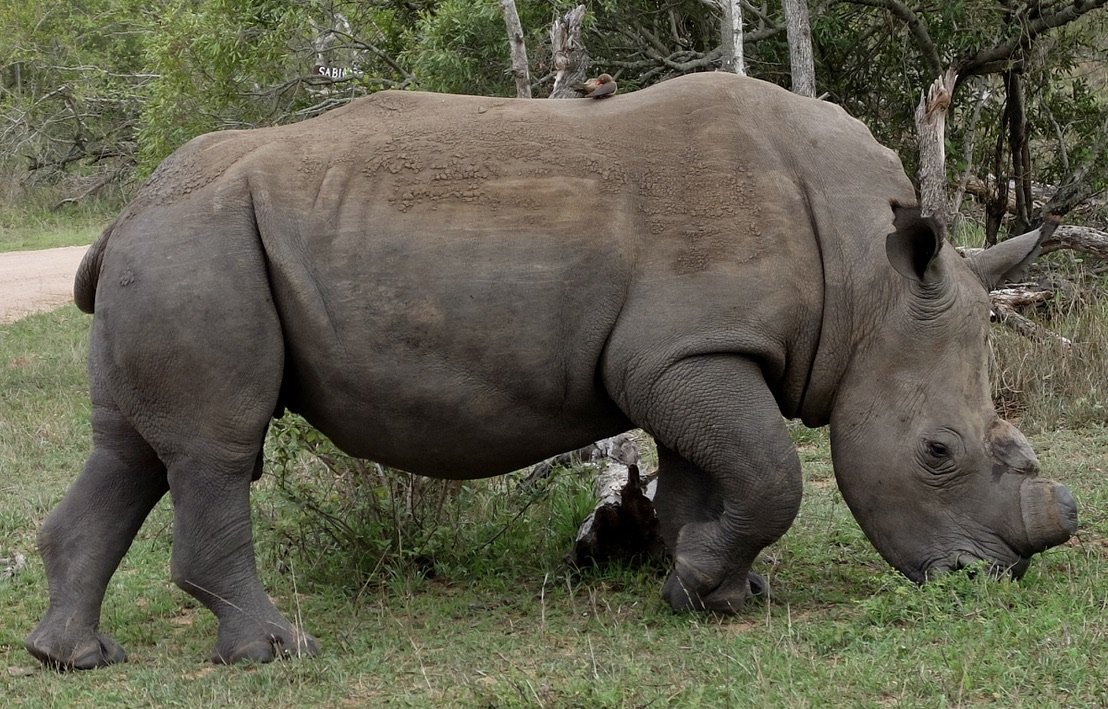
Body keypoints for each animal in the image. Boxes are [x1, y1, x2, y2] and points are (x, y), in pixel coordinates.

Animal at [27, 72, 1077, 669]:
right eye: (938, 452)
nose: (987, 581)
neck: (870, 284)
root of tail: (123, 212)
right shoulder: (686, 350)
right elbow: (772, 473)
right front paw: (704, 582)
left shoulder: (690, 351)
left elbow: (708, 475)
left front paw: (711, 589)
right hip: (197, 244)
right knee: (216, 448)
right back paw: (274, 654)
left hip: (179, 244)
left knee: (132, 449)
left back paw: (75, 658)